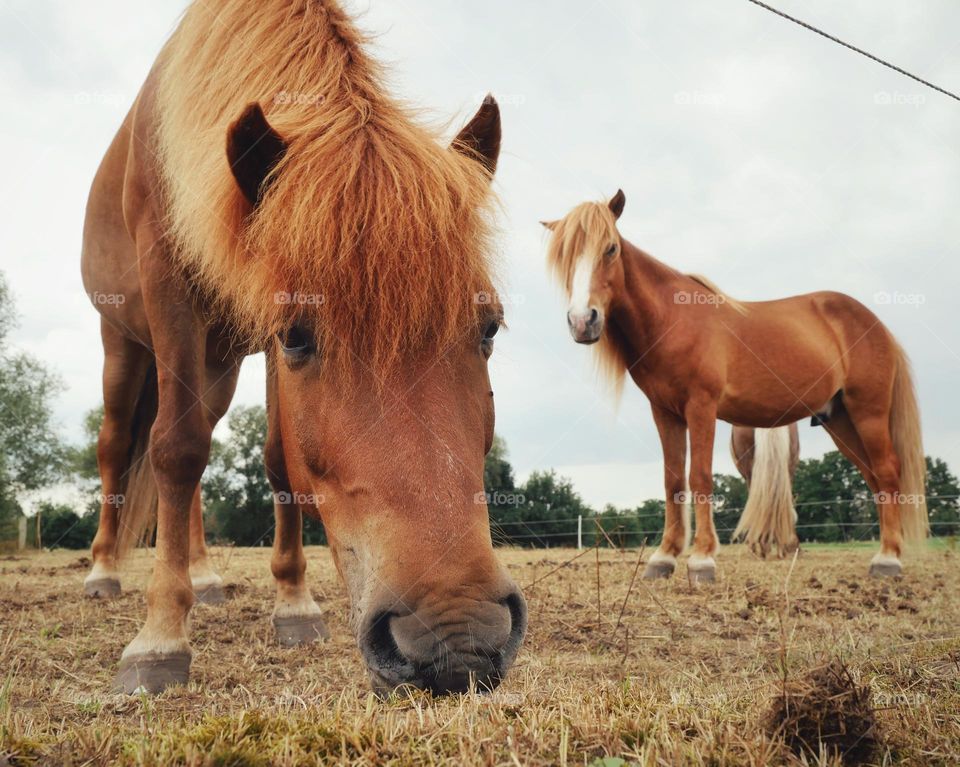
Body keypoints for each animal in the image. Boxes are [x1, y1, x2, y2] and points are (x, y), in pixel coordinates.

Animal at [82, 0, 528, 696]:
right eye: (298, 336)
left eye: (488, 327)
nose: (460, 641)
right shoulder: (172, 291)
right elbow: (175, 451)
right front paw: (158, 641)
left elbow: (272, 462)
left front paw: (292, 605)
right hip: (125, 347)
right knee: (123, 445)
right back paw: (103, 571)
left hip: (217, 362)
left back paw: (203, 579)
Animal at [544, 192, 928, 584]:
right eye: (564, 258)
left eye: (611, 248)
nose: (582, 321)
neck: (673, 320)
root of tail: (876, 324)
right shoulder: (665, 412)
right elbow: (673, 481)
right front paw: (663, 558)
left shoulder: (701, 408)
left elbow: (699, 477)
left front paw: (701, 560)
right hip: (839, 420)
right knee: (873, 477)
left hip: (868, 412)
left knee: (887, 472)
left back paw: (888, 560)